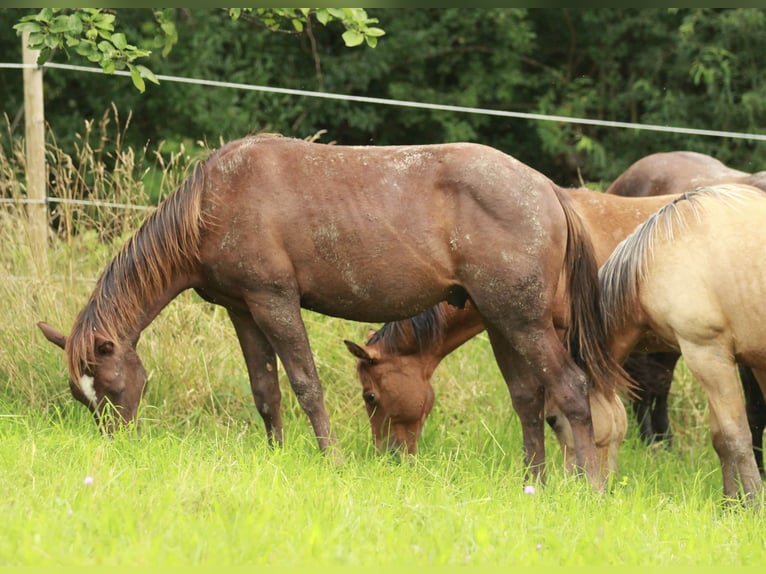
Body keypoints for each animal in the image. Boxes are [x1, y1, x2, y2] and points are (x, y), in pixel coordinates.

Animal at [36, 134, 632, 490]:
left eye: (113, 387)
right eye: (82, 397)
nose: (117, 445)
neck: (214, 201)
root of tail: (549, 191)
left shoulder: (274, 301)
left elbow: (305, 383)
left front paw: (332, 461)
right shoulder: (243, 309)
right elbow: (266, 389)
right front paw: (276, 456)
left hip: (523, 321)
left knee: (571, 390)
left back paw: (589, 488)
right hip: (502, 320)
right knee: (529, 400)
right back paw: (534, 485)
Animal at [600, 186, 766, 504]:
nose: (576, 484)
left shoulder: (707, 354)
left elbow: (736, 435)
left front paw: (752, 503)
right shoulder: (740, 362)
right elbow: (721, 438)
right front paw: (730, 504)